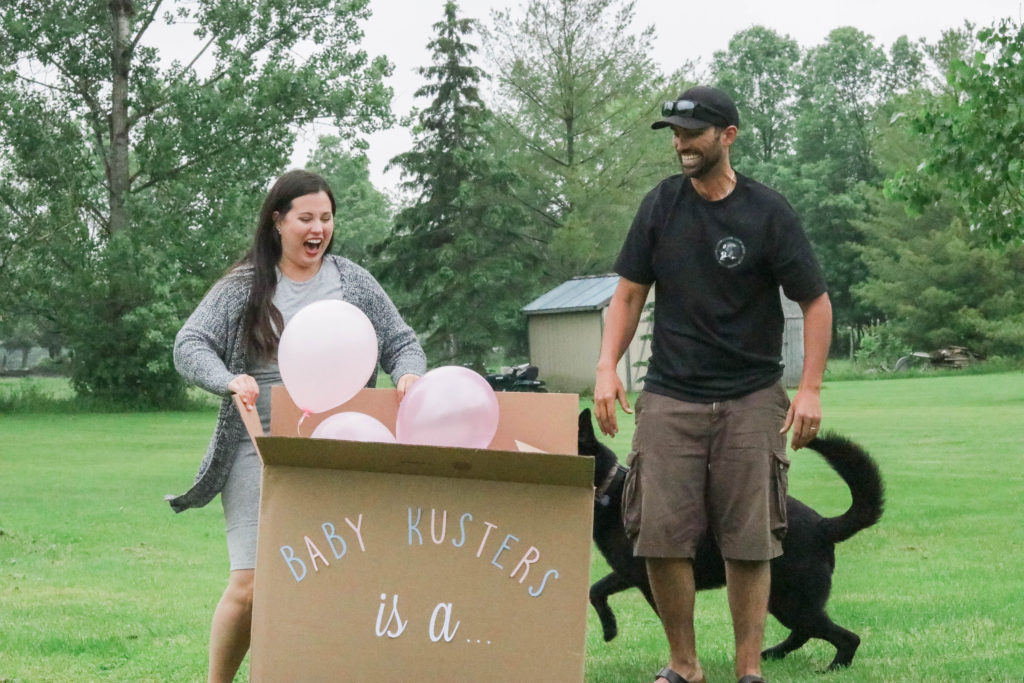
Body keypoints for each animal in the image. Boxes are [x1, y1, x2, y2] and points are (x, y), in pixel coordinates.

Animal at [581, 409, 884, 671]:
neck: (610, 490)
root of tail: (823, 525)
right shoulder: (628, 574)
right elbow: (595, 590)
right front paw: (609, 629)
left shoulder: (645, 578)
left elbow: (672, 624)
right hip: (783, 600)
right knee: (805, 632)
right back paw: (774, 653)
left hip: (792, 603)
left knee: (844, 637)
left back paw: (832, 668)